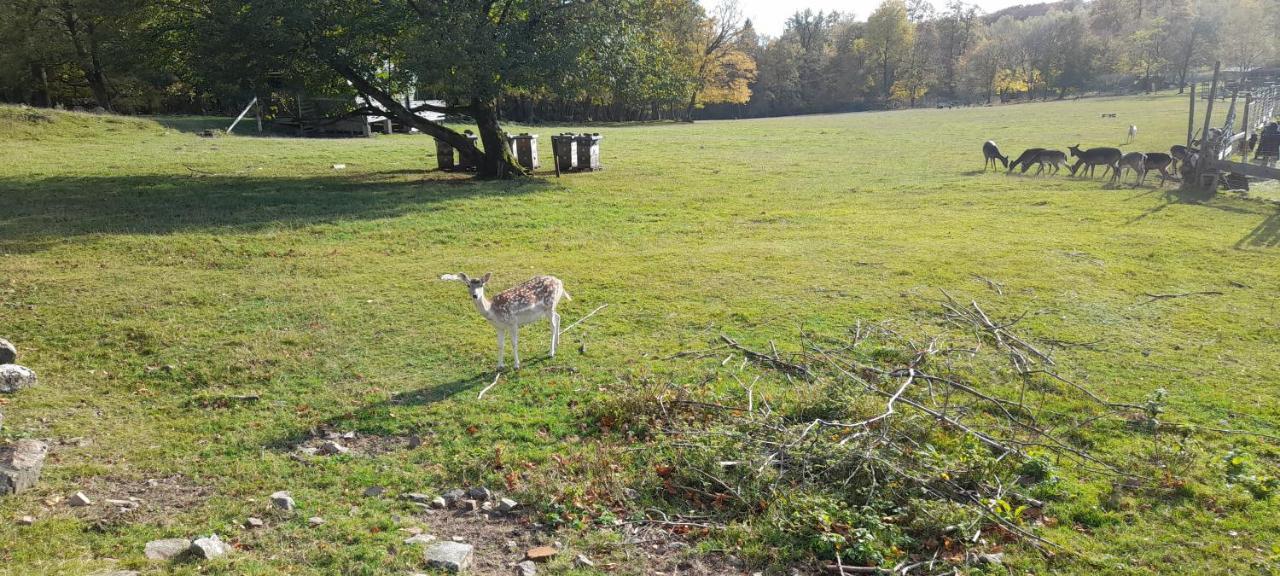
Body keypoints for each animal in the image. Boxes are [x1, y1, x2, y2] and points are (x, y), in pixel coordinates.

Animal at [445, 273, 576, 371]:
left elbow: (514, 343)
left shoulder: (513, 322)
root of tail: (560, 282)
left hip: (550, 305)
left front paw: (516, 365)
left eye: (481, 285)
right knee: (558, 316)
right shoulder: (499, 327)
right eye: (468, 285)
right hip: (549, 309)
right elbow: (500, 345)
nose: (475, 295)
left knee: (552, 326)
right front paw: (499, 365)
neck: (492, 311)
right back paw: (557, 343)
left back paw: (551, 352)